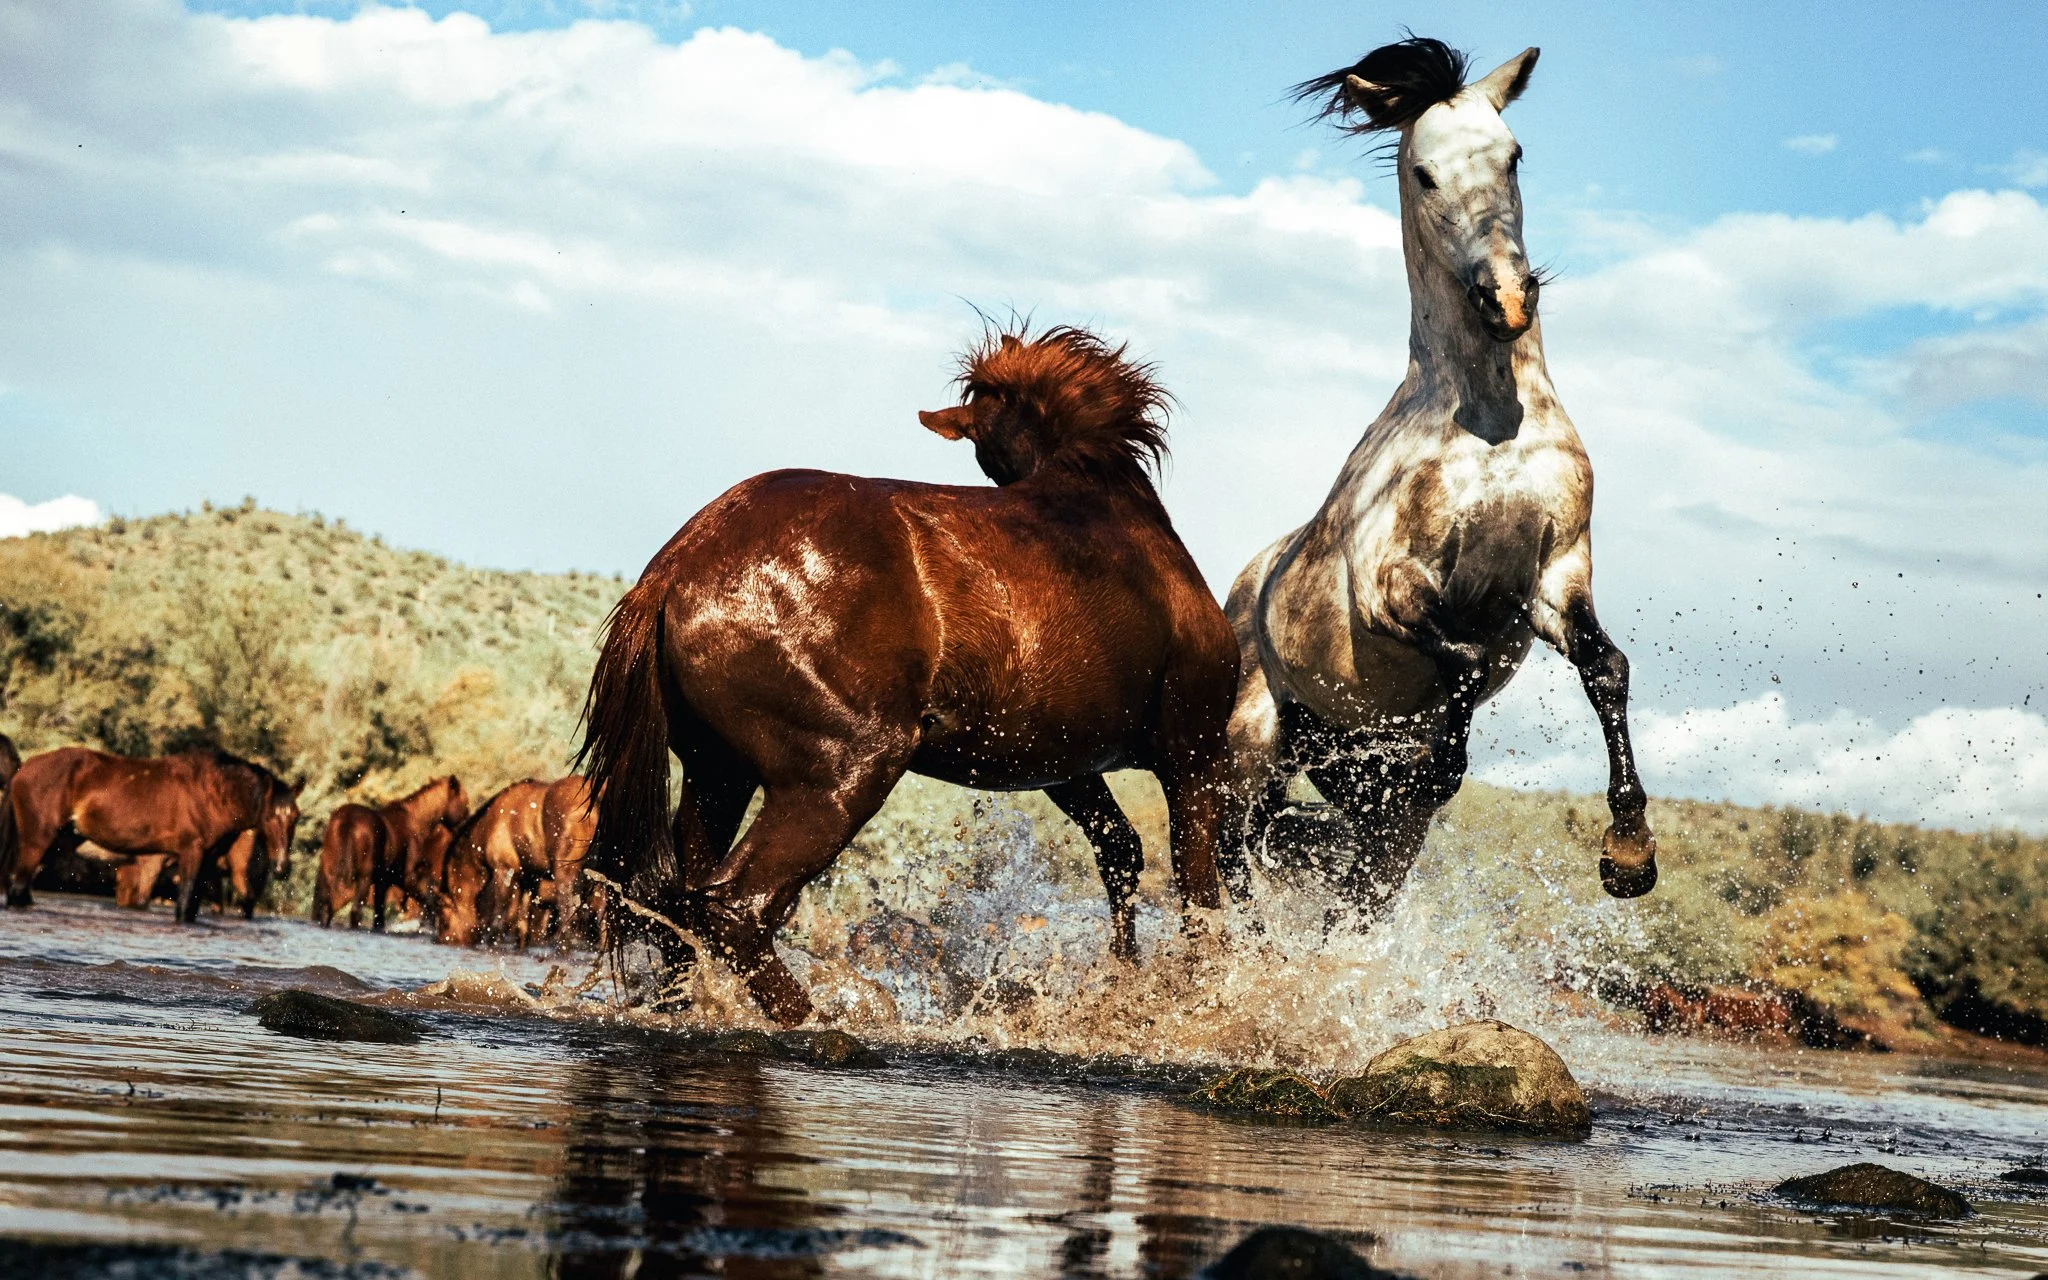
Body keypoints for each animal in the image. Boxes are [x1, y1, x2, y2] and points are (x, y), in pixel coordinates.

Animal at [1, 745, 303, 922]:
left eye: (295, 817)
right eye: (270, 816)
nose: (281, 868)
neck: (213, 792)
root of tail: (23, 769)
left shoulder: (207, 863)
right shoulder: (191, 853)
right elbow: (184, 905)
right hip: (36, 842)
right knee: (17, 890)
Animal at [310, 775, 468, 930]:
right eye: (465, 803)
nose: (463, 832)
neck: (416, 820)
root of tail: (347, 821)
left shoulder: (385, 880)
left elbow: (379, 916)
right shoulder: (407, 876)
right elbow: (427, 897)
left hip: (326, 872)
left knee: (320, 907)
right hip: (363, 878)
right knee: (351, 910)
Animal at [578, 324, 1238, 1025]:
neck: (1110, 510)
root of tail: (674, 569)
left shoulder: (1063, 763)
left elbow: (1121, 854)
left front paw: (1126, 980)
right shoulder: (1192, 752)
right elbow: (1199, 894)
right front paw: (1200, 994)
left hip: (718, 774)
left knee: (681, 902)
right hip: (845, 771)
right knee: (738, 908)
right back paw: (826, 1023)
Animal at [1221, 37, 1656, 916]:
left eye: (1513, 154)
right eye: (1424, 172)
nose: (1507, 299)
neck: (1491, 425)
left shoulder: (1556, 574)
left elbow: (1606, 668)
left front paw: (1630, 853)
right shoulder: (1386, 583)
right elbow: (1460, 655)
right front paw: (1442, 769)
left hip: (1344, 779)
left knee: (1347, 879)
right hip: (1250, 750)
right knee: (1228, 864)